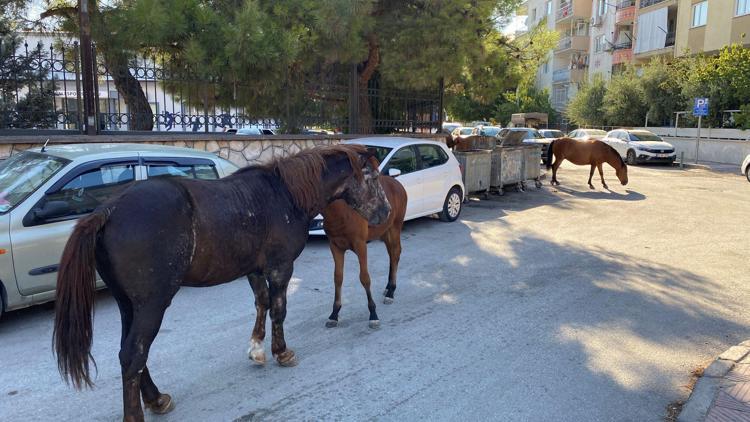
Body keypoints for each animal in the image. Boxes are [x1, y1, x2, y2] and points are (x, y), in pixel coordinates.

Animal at [53, 144, 394, 422]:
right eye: (372, 178)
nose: (386, 212)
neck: (285, 195)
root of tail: (107, 210)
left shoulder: (255, 269)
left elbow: (262, 304)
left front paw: (257, 350)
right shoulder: (280, 267)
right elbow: (279, 309)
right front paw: (281, 352)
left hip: (128, 305)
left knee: (131, 352)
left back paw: (156, 398)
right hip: (152, 305)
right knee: (133, 355)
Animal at [322, 175, 408, 330]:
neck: (341, 211)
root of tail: (397, 182)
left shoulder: (360, 245)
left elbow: (364, 278)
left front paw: (373, 315)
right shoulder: (335, 246)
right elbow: (338, 278)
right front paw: (334, 314)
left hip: (395, 228)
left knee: (395, 254)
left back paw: (391, 292)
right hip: (385, 232)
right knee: (391, 254)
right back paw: (388, 288)